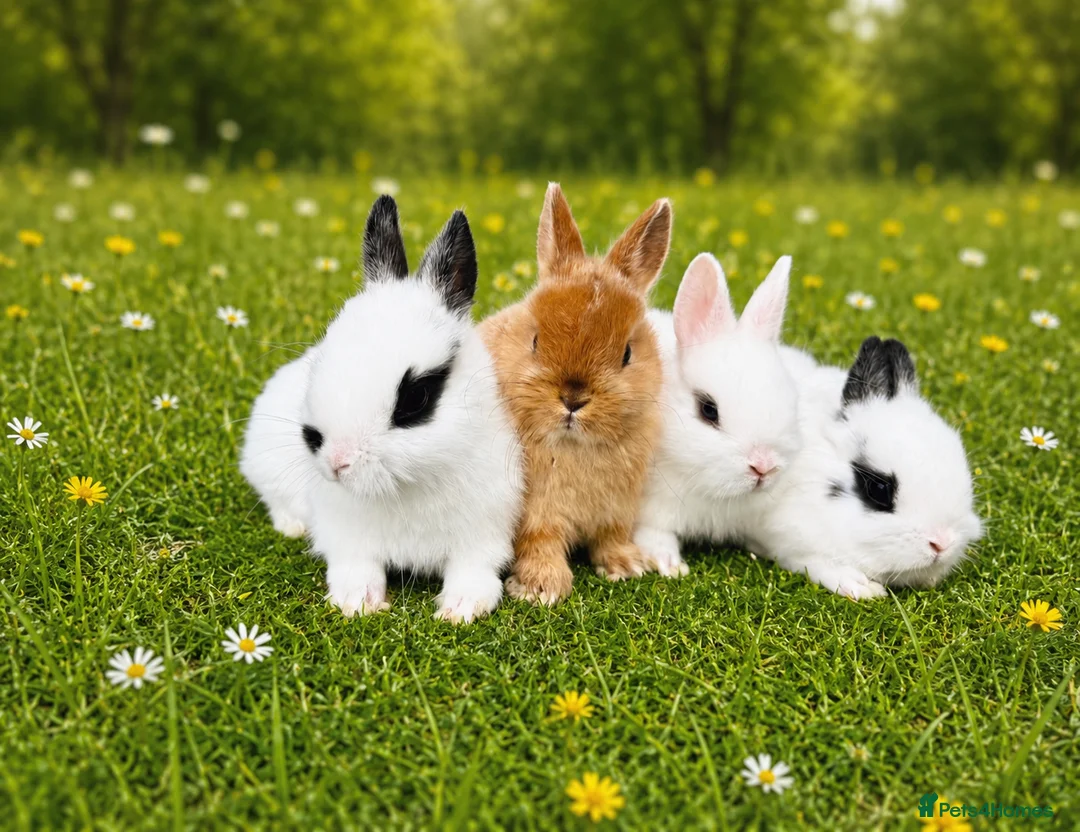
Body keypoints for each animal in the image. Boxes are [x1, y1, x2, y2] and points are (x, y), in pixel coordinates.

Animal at [240, 195, 524, 622]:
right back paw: (293, 526)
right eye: (325, 352)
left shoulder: (486, 530)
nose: (336, 462)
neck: (406, 485)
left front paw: (459, 610)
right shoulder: (345, 535)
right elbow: (356, 567)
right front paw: (357, 603)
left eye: (415, 397)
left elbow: (474, 571)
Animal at [480, 183, 672, 605]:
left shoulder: (617, 511)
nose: (572, 399)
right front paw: (540, 588)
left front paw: (625, 566)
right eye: (535, 340)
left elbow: (611, 538)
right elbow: (541, 544)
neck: (576, 446)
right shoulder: (536, 516)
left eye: (627, 354)